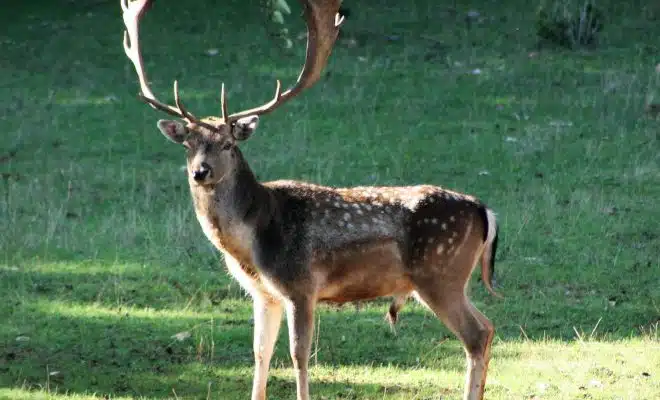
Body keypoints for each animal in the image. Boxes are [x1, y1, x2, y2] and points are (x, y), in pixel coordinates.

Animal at [120, 0, 500, 400]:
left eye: (228, 144)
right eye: (188, 144)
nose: (200, 172)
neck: (253, 241)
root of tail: (484, 210)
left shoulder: (300, 285)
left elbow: (298, 354)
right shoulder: (264, 294)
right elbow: (260, 352)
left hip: (439, 273)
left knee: (476, 335)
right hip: (449, 278)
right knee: (488, 327)